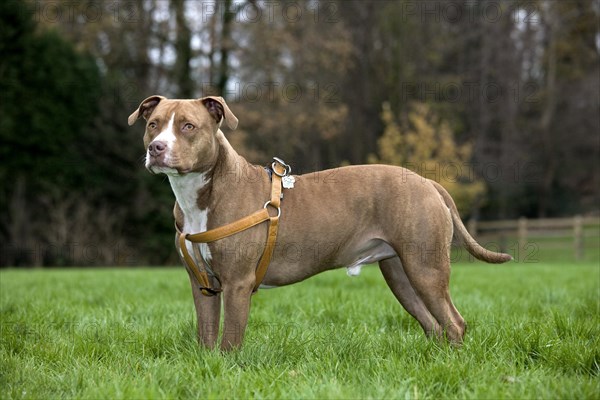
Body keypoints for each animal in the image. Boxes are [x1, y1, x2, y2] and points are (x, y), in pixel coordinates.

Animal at [126, 96, 510, 350]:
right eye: (153, 124)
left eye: (188, 126)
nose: (157, 148)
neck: (200, 195)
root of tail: (428, 182)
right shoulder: (202, 284)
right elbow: (206, 335)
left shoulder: (236, 283)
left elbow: (230, 340)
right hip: (401, 273)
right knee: (433, 324)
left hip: (425, 268)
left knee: (454, 322)